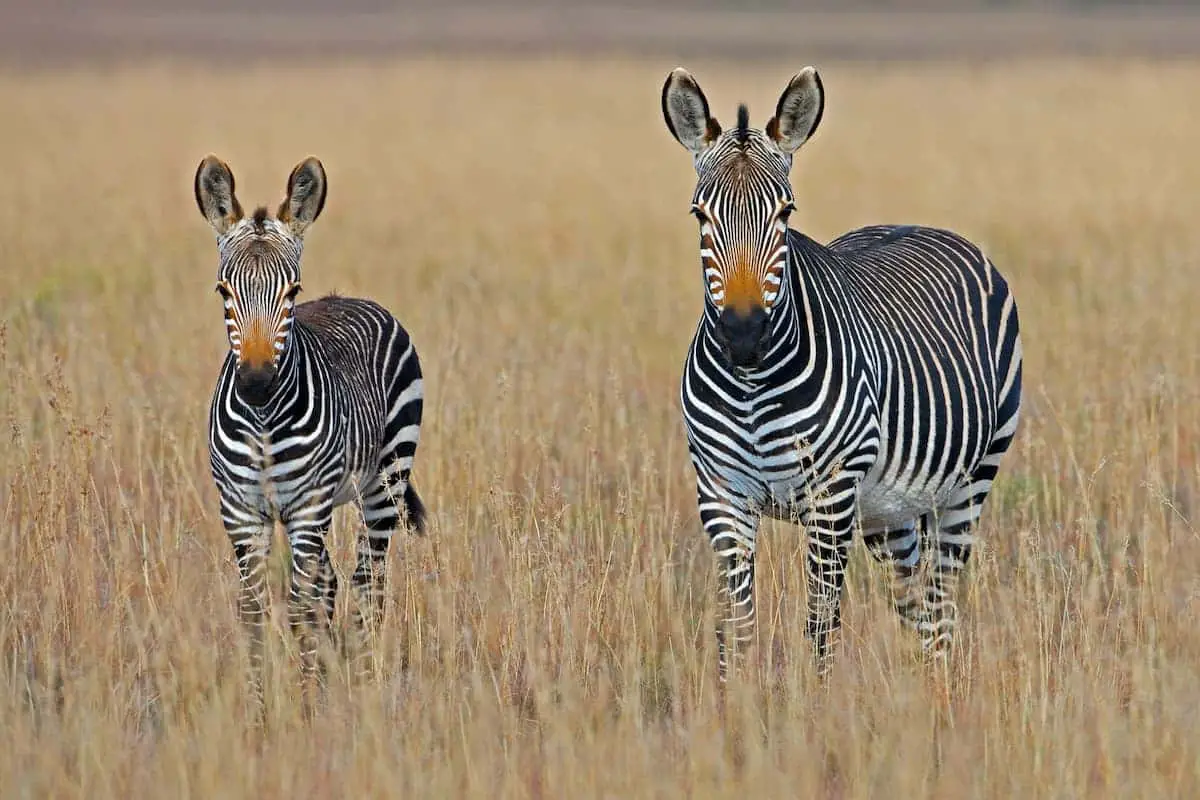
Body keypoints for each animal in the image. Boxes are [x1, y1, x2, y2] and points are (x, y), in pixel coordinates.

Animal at [193, 158, 427, 714]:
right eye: (223, 291)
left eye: (292, 292)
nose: (257, 383)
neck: (262, 421)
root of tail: (352, 298)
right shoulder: (241, 511)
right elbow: (255, 612)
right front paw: (259, 714)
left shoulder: (306, 509)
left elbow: (300, 610)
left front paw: (304, 712)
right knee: (333, 583)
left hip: (383, 485)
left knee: (367, 585)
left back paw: (363, 686)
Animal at [662, 70, 1027, 681]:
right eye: (699, 216)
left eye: (785, 213)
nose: (743, 335)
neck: (752, 387)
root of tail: (919, 223)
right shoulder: (720, 494)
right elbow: (735, 629)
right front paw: (731, 704)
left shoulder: (831, 496)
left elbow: (819, 626)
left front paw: (816, 705)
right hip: (889, 508)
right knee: (913, 601)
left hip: (971, 479)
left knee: (941, 604)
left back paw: (941, 692)